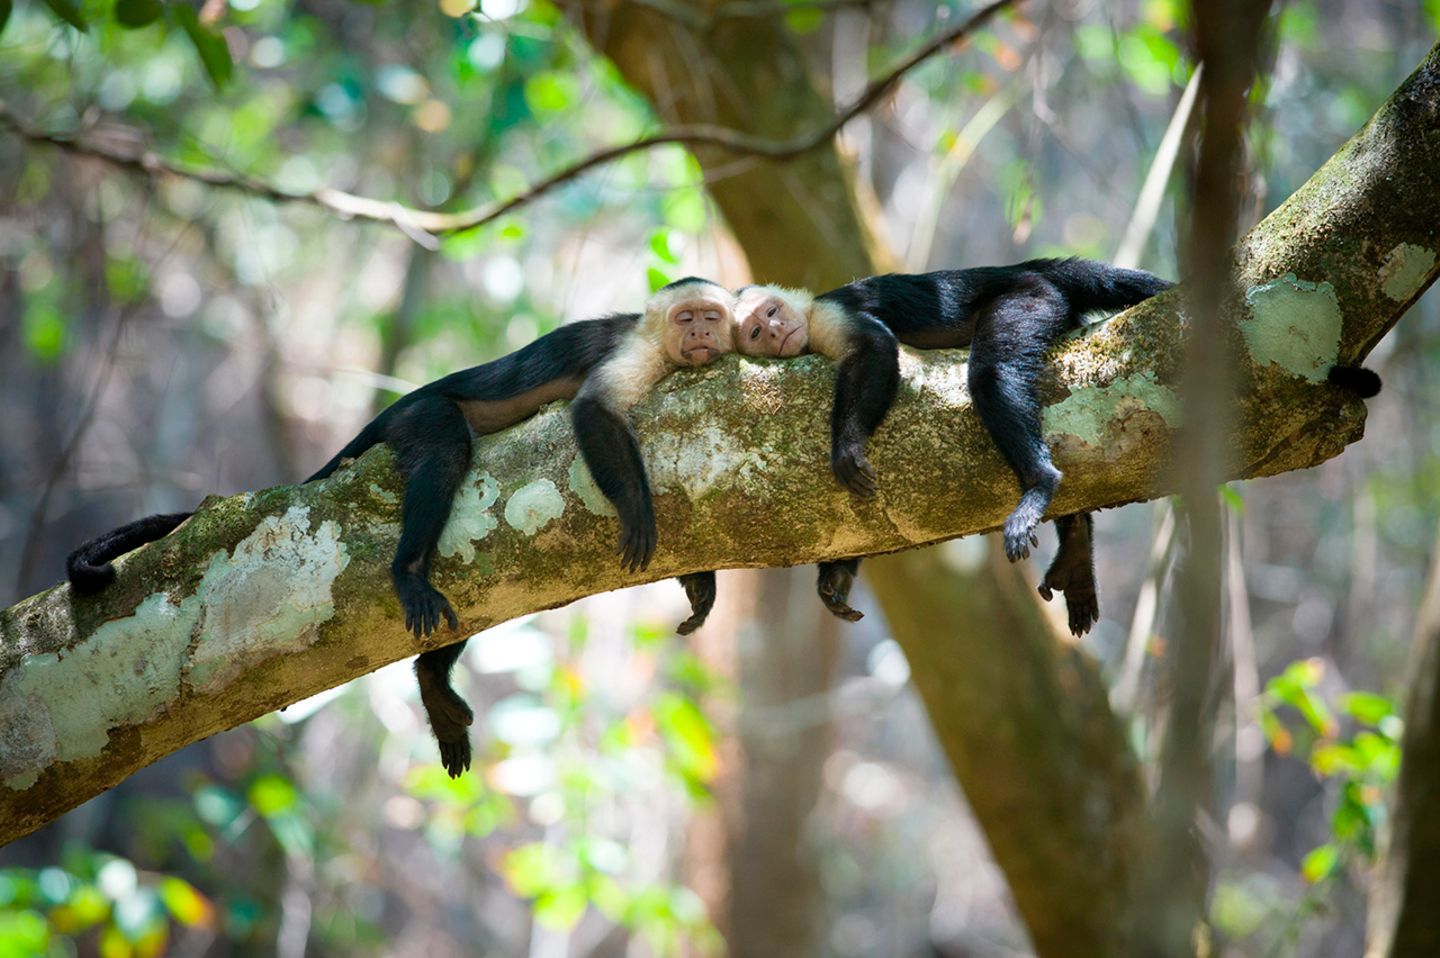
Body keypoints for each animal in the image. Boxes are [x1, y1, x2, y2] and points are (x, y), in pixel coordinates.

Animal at [64, 275, 743, 772]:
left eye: (711, 317)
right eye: (687, 317)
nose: (702, 333)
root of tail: (394, 410)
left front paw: (701, 582)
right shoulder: (639, 351)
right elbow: (594, 411)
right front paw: (637, 509)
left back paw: (434, 681)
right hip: (420, 416)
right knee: (444, 452)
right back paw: (407, 571)